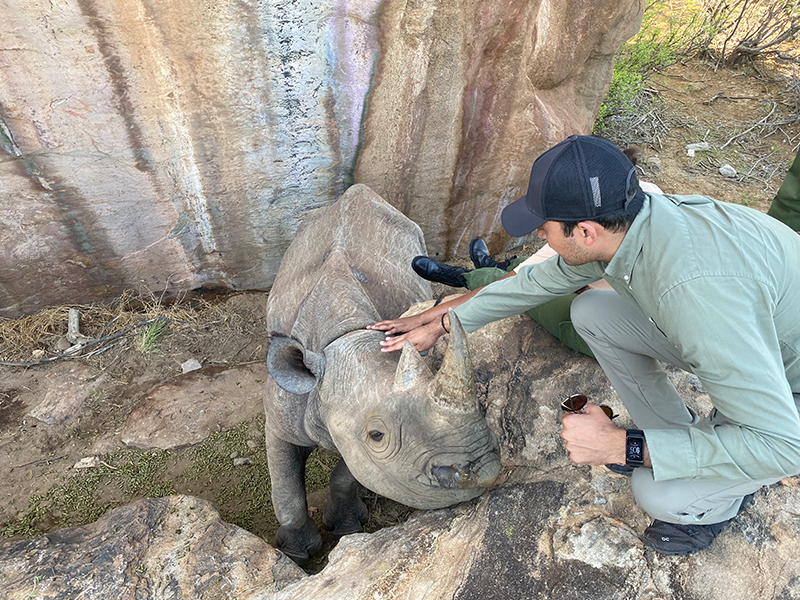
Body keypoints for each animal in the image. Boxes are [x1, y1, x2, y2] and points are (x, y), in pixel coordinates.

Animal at [262, 183, 500, 564]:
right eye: (377, 435)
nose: (484, 469)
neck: (343, 337)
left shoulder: (354, 439)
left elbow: (347, 475)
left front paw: (346, 528)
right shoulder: (282, 417)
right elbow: (286, 492)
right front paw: (296, 554)